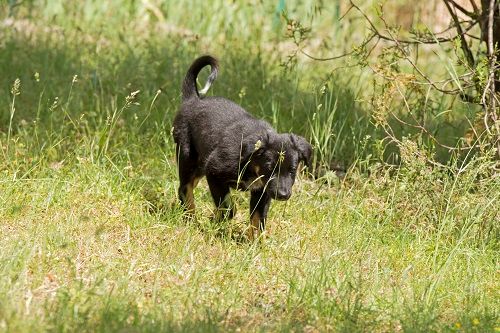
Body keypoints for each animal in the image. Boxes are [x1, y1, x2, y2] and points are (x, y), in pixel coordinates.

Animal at [174, 55, 310, 240]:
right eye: (270, 168)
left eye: (292, 170)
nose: (283, 195)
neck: (251, 162)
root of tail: (192, 100)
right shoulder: (214, 172)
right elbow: (228, 207)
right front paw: (216, 222)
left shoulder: (263, 190)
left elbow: (258, 219)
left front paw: (255, 243)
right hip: (188, 157)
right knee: (185, 188)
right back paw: (190, 220)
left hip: (200, 166)